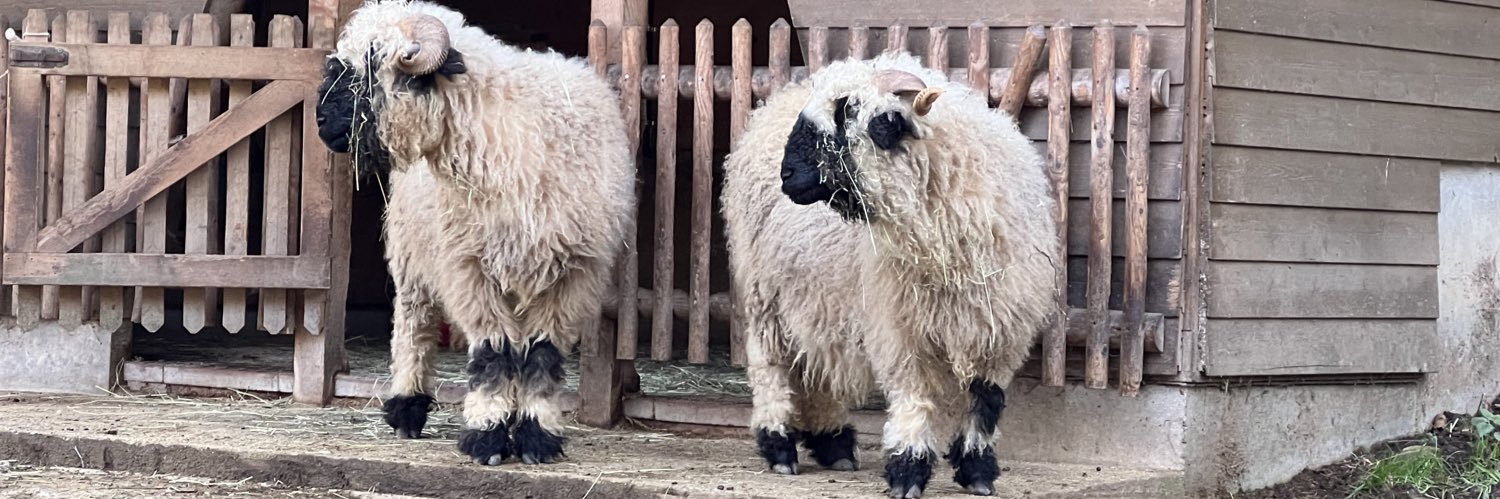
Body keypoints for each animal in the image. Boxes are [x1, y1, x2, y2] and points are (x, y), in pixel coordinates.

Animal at [313, 0, 635, 467]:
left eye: (372, 64)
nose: (320, 120)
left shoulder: (572, 275)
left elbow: (542, 354)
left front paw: (537, 435)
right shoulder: (469, 269)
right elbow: (492, 354)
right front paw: (488, 435)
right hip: (413, 255)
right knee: (414, 327)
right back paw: (407, 408)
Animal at [721, 52, 1061, 498]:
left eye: (854, 114)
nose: (787, 175)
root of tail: (774, 104)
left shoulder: (999, 331)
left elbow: (985, 402)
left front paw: (978, 471)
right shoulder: (903, 329)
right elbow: (915, 397)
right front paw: (908, 470)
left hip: (818, 298)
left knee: (816, 367)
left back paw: (833, 443)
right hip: (766, 295)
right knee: (771, 365)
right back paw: (779, 445)